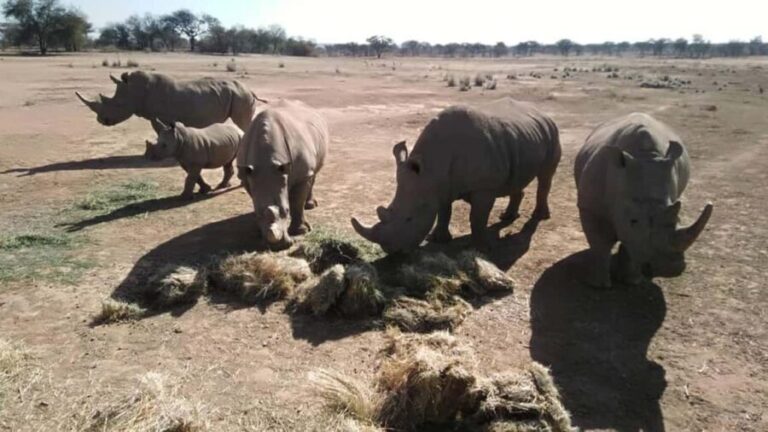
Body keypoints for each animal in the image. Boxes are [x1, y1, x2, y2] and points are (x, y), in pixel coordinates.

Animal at [75, 71, 266, 131]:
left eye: (117, 105)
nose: (102, 121)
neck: (134, 91)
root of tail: (250, 90)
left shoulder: (162, 116)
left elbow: (160, 130)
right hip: (239, 96)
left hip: (241, 97)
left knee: (242, 123)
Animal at [237, 100, 329, 250]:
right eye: (258, 214)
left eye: (286, 211)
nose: (277, 247)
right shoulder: (247, 176)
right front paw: (259, 230)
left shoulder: (302, 174)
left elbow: (297, 202)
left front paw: (301, 231)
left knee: (313, 174)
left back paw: (310, 205)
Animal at [351, 98, 561, 253]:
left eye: (409, 219)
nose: (391, 250)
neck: (432, 166)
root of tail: (542, 112)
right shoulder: (440, 185)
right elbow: (444, 212)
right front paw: (439, 240)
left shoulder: (483, 188)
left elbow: (477, 216)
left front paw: (481, 249)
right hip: (520, 136)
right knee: (516, 178)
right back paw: (506, 216)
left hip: (552, 130)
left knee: (546, 176)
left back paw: (540, 216)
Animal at [574, 112, 713, 288]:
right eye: (633, 221)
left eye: (678, 220)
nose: (670, 269)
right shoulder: (591, 208)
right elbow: (600, 244)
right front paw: (598, 285)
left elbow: (632, 244)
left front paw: (632, 281)